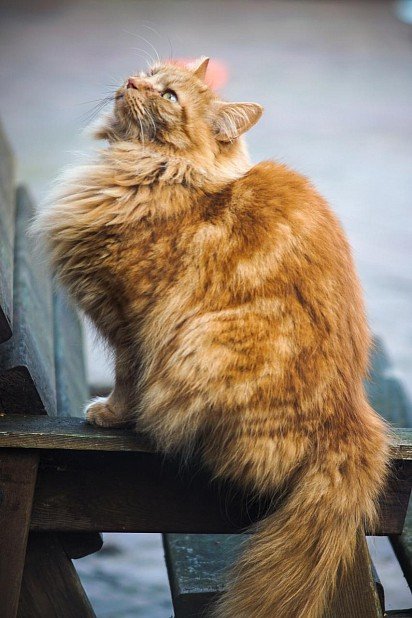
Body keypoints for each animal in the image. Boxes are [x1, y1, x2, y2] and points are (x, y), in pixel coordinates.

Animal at [34, 57, 390, 616]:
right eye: (147, 72)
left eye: (170, 96)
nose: (133, 83)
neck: (145, 171)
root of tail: (353, 421)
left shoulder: (130, 320)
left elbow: (126, 378)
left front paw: (110, 414)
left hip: (202, 345)